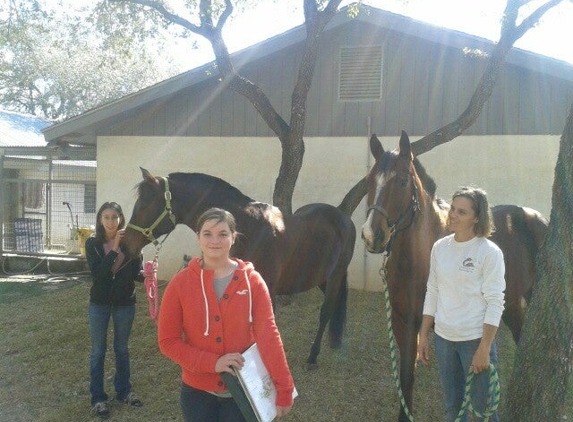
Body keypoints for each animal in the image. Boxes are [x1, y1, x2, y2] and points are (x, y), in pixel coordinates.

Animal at [122, 168, 354, 370]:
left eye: (144, 205)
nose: (125, 246)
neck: (246, 229)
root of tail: (342, 217)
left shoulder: (266, 290)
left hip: (335, 276)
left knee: (326, 312)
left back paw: (313, 357)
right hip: (321, 277)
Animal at [360, 130, 548, 420]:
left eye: (402, 181)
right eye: (370, 182)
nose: (372, 235)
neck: (419, 258)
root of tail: (537, 217)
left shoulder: (415, 322)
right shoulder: (401, 321)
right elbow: (405, 379)